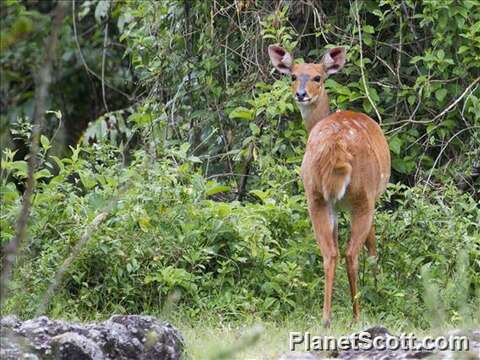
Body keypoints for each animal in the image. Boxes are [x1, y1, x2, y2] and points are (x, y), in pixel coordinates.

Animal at [268, 44, 392, 326]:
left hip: (314, 194)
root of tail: (336, 146)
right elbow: (372, 245)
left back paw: (326, 317)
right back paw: (357, 314)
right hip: (362, 196)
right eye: (293, 76)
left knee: (330, 252)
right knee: (350, 252)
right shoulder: (373, 197)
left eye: (317, 77)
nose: (301, 94)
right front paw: (377, 287)